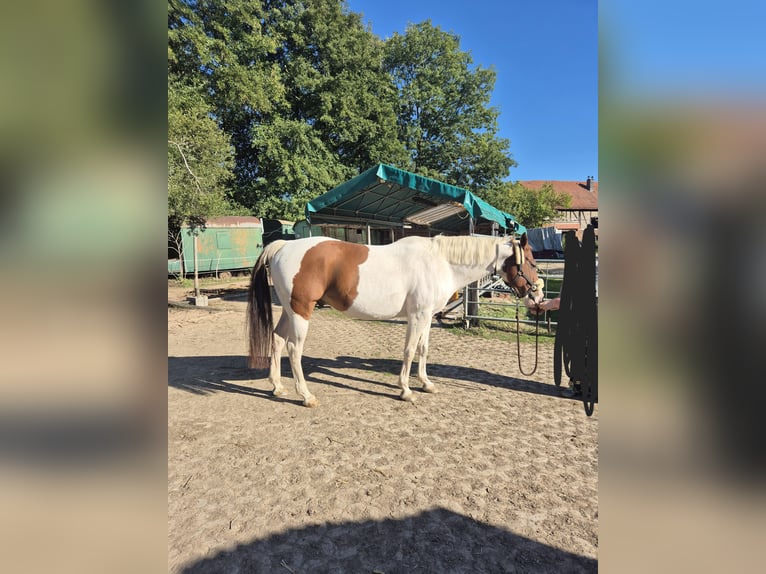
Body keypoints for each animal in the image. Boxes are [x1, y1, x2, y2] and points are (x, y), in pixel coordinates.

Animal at [247, 233, 543, 407]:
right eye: (530, 261)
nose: (537, 295)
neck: (440, 262)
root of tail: (284, 246)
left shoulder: (427, 316)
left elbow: (423, 349)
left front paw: (426, 384)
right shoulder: (417, 315)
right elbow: (410, 350)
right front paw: (405, 390)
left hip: (289, 310)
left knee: (277, 340)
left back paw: (277, 387)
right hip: (301, 310)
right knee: (294, 349)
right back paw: (306, 396)